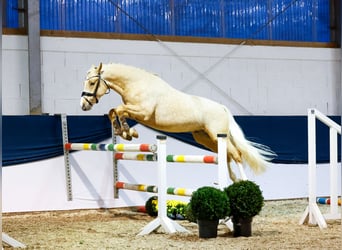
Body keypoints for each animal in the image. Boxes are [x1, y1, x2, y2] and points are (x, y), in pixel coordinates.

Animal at [80, 62, 276, 182]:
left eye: (92, 83)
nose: (83, 105)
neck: (137, 84)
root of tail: (223, 108)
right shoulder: (135, 111)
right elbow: (113, 111)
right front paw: (125, 132)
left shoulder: (143, 112)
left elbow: (119, 110)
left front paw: (129, 133)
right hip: (205, 138)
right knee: (226, 156)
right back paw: (233, 181)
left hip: (218, 135)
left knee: (236, 154)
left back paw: (243, 182)